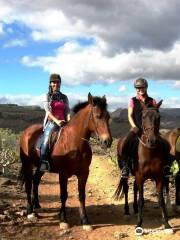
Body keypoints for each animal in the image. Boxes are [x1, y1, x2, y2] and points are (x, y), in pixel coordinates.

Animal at [18, 93, 111, 230]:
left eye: (108, 117)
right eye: (98, 116)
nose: (107, 141)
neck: (75, 143)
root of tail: (26, 132)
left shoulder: (84, 173)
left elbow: (82, 195)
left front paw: (85, 220)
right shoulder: (63, 174)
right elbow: (63, 195)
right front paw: (63, 219)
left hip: (41, 167)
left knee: (36, 181)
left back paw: (36, 205)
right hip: (27, 164)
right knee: (29, 184)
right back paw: (30, 212)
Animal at [114, 100, 173, 235]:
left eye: (159, 117)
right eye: (143, 116)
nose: (152, 140)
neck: (149, 153)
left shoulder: (159, 178)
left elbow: (161, 200)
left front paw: (166, 224)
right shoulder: (140, 177)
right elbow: (142, 200)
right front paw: (139, 224)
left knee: (134, 188)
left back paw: (135, 209)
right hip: (125, 172)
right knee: (126, 189)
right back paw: (127, 211)